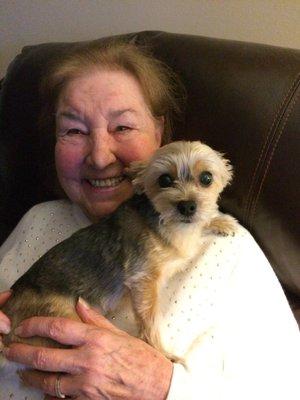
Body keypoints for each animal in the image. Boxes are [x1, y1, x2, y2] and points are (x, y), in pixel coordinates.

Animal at [1, 141, 238, 366]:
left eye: (206, 178)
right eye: (164, 180)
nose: (187, 206)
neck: (170, 224)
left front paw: (221, 222)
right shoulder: (143, 281)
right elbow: (150, 321)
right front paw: (162, 354)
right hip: (60, 314)